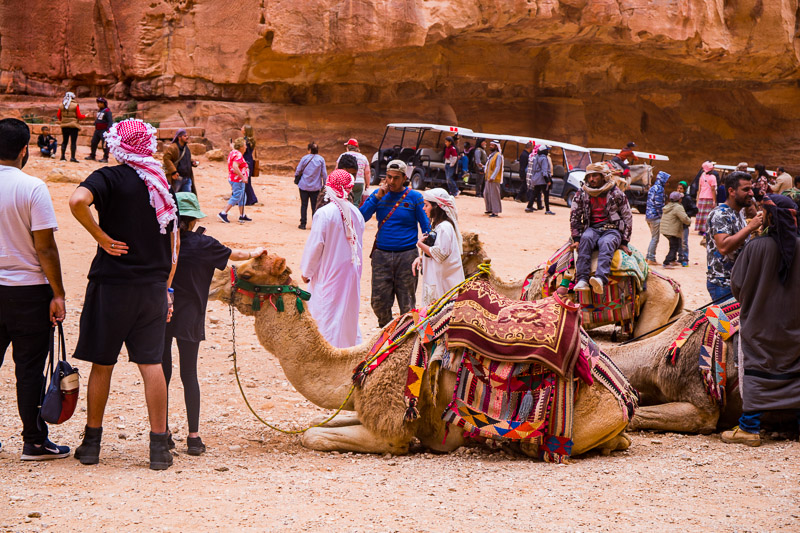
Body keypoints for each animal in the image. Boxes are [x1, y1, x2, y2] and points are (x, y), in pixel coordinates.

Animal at [209, 252, 636, 458]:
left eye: (249, 270)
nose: (212, 277)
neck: (358, 364)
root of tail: (626, 398)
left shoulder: (391, 424)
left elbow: (313, 436)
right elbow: (316, 424)